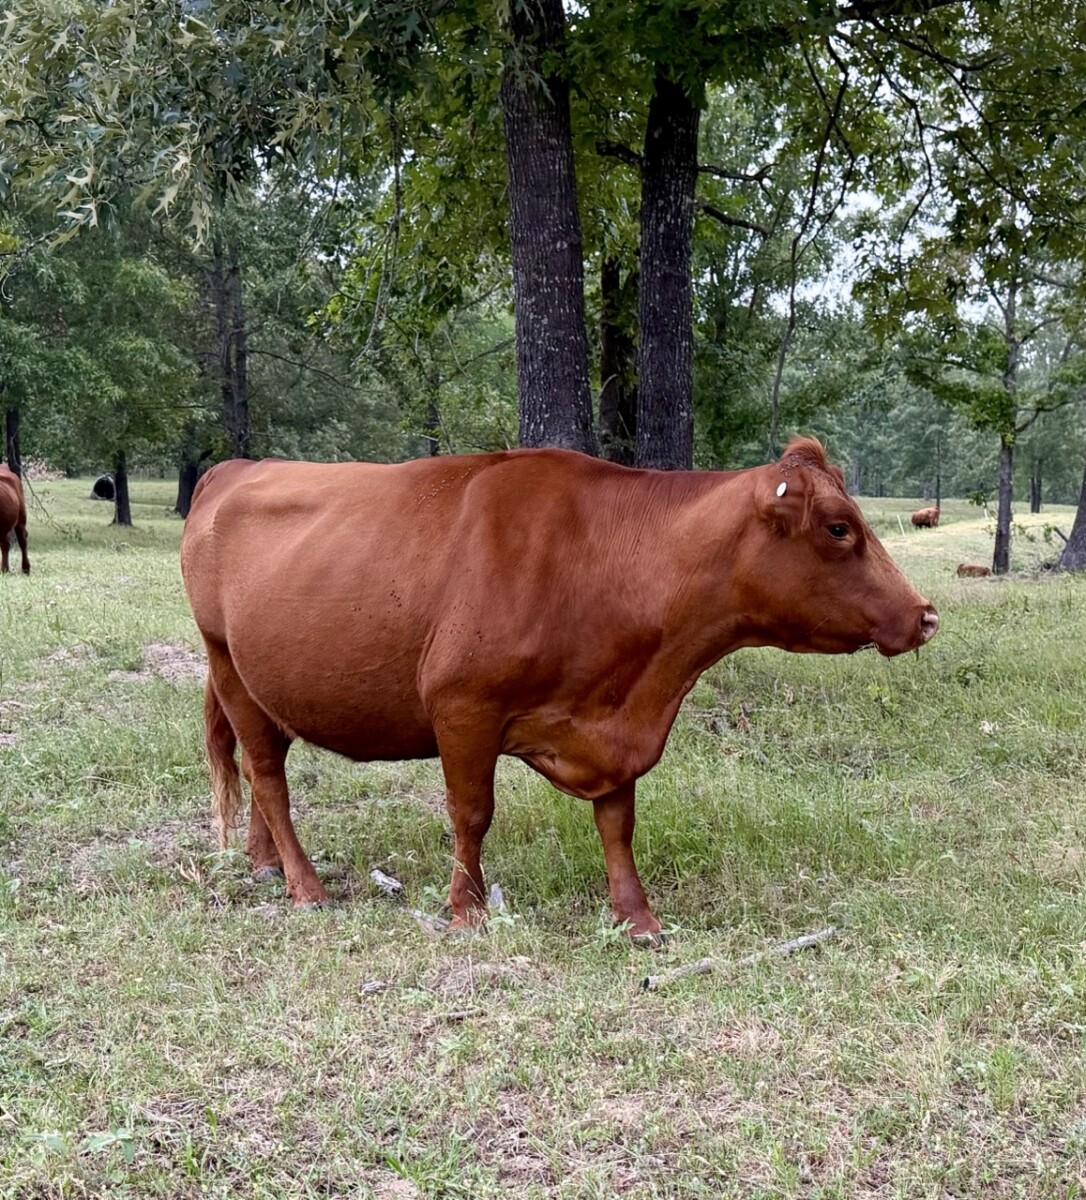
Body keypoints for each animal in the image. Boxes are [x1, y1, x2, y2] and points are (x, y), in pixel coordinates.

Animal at [180, 438, 938, 943]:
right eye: (839, 527)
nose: (925, 614)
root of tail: (237, 466)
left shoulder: (615, 723)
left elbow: (618, 822)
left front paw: (637, 917)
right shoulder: (463, 705)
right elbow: (472, 813)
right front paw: (467, 909)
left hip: (265, 685)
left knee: (262, 770)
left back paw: (264, 865)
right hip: (228, 664)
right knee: (267, 776)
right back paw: (305, 887)